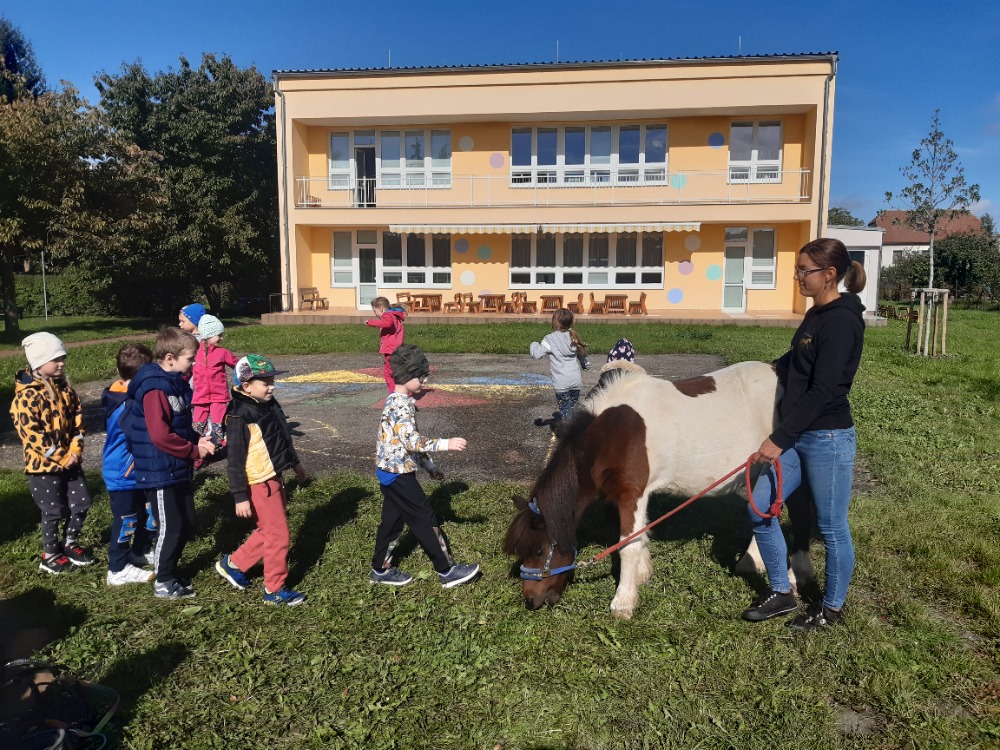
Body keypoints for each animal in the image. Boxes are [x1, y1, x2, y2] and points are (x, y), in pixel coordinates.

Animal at [503, 360, 812, 619]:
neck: (612, 435)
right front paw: (641, 575)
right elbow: (640, 537)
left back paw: (791, 576)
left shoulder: (632, 493)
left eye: (540, 551)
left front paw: (623, 602)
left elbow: (627, 545)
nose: (530, 601)